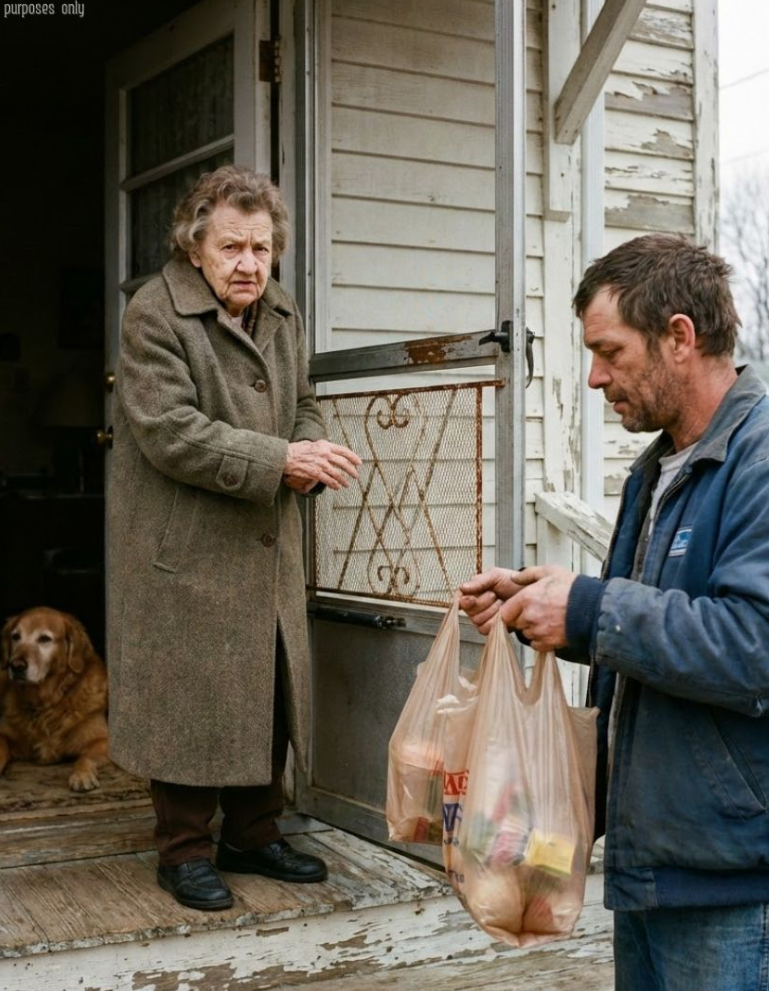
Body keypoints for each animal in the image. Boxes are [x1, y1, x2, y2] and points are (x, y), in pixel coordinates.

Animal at [0, 607, 110, 792]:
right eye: (15, 637)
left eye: (44, 639)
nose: (16, 666)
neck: (46, 703)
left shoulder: (102, 739)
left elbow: (86, 757)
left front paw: (81, 775)